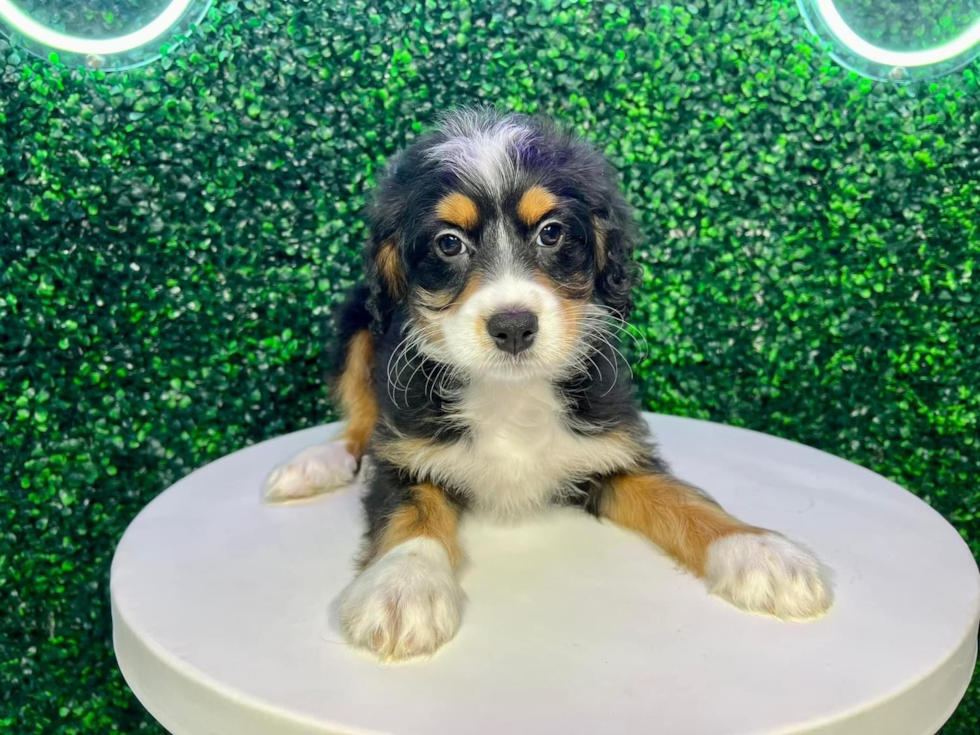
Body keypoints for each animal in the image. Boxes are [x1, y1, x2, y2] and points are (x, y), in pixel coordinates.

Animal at [264, 108, 832, 660]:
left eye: (552, 233)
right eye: (448, 243)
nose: (513, 326)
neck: (511, 393)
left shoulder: (614, 449)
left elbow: (681, 499)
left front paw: (761, 553)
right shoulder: (404, 449)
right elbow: (410, 513)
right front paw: (403, 589)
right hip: (357, 322)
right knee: (359, 415)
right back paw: (314, 464)